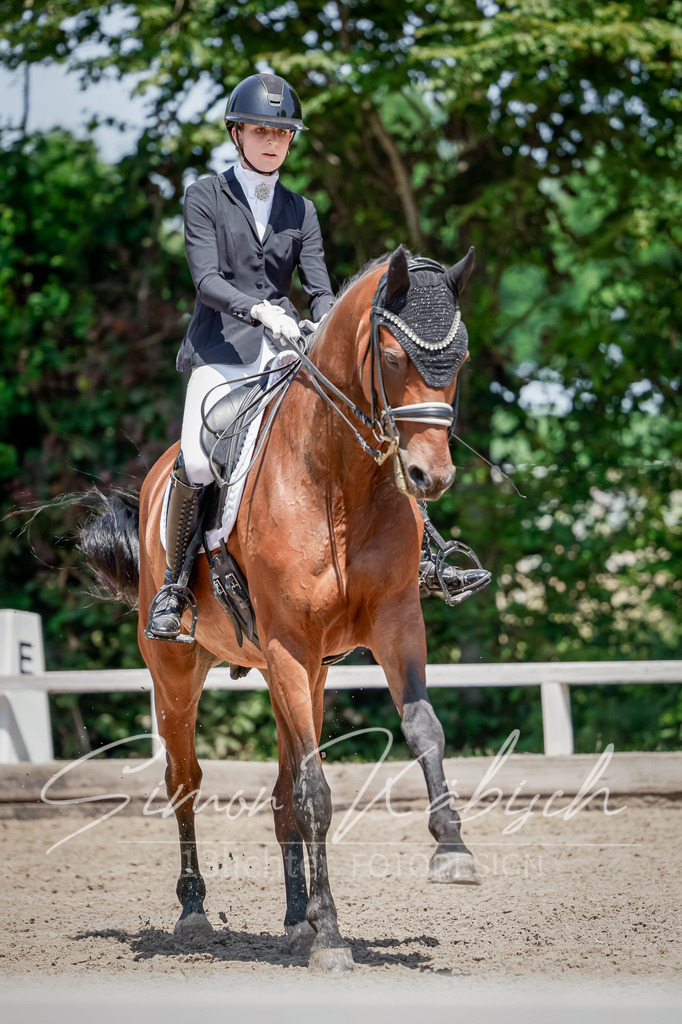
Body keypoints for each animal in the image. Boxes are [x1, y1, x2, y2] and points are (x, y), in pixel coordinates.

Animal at [82, 245, 481, 974]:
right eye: (390, 355)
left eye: (459, 357)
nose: (430, 479)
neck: (339, 479)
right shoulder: (290, 644)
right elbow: (316, 792)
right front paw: (333, 939)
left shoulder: (394, 626)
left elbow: (423, 731)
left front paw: (453, 852)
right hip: (180, 673)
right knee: (185, 780)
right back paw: (195, 913)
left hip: (297, 673)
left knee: (279, 793)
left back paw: (296, 919)